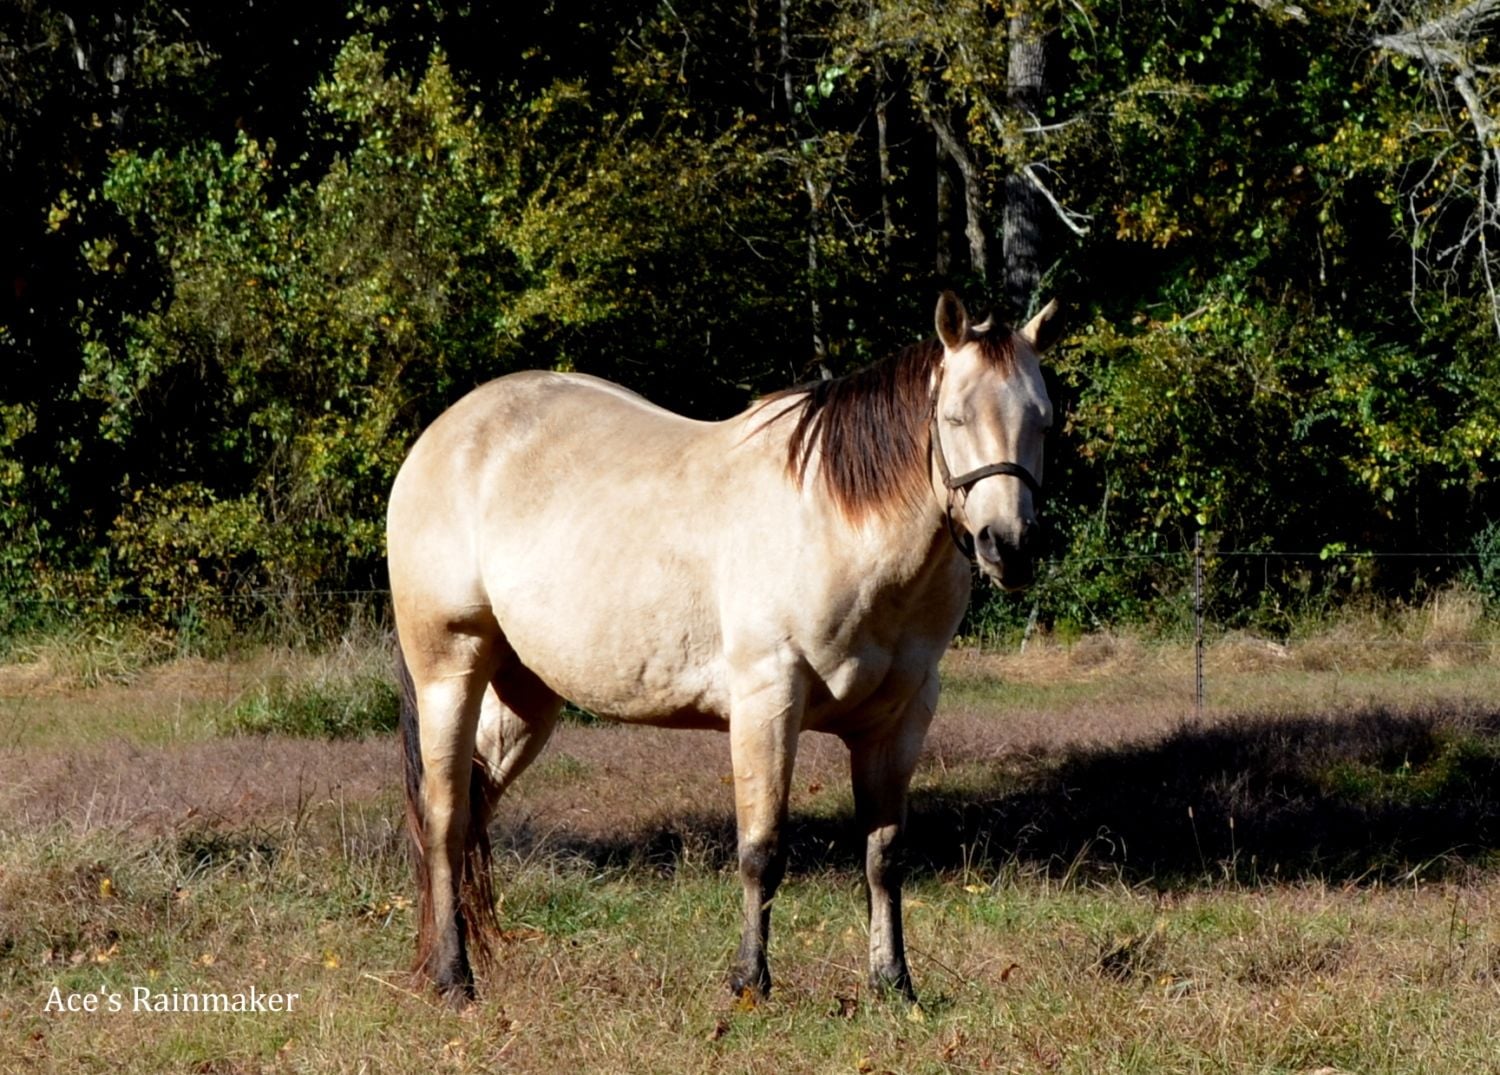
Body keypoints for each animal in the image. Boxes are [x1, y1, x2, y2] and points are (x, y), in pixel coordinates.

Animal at [388, 291, 1059, 1007]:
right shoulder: (768, 702)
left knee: (472, 812)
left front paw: (893, 983)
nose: (1009, 547)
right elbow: (761, 851)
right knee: (444, 818)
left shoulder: (900, 719)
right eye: (955, 417)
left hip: (524, 697)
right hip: (449, 673)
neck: (834, 524)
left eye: (1043, 420)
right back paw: (453, 977)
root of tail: (444, 436)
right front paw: (749, 983)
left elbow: (884, 856)